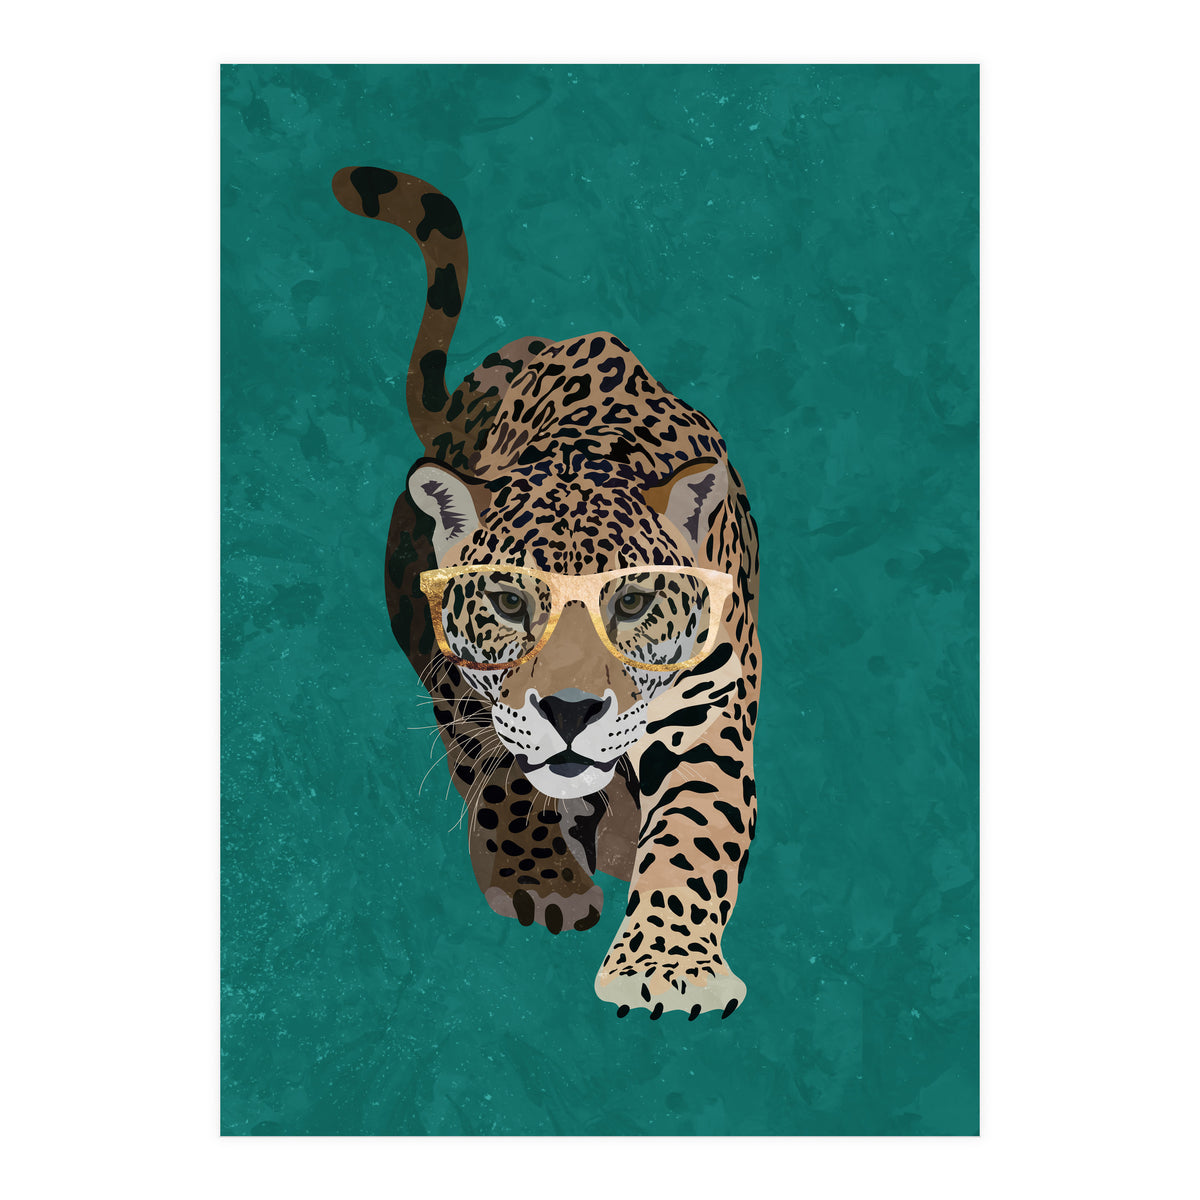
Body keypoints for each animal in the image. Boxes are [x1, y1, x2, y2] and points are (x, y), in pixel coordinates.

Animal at [332, 166, 761, 1019]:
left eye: (630, 603)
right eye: (508, 602)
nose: (570, 712)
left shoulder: (709, 708)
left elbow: (695, 831)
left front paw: (668, 967)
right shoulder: (464, 684)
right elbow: (501, 774)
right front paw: (541, 879)